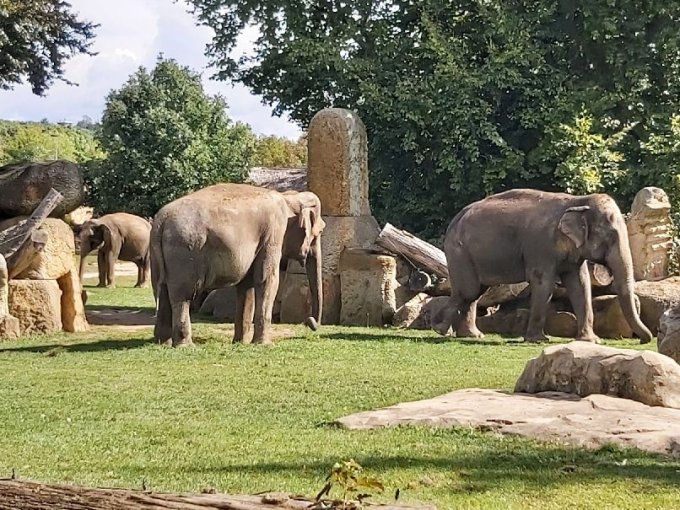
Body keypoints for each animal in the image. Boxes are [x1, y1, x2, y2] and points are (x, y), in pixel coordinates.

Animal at [152, 183, 326, 346]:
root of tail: (161, 221)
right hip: (184, 250)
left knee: (163, 292)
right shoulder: (273, 233)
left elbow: (246, 286)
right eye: (320, 232)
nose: (309, 322)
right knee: (183, 296)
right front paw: (264, 345)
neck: (289, 199)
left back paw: (163, 343)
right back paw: (185, 346)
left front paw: (241, 342)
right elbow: (267, 280)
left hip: (161, 255)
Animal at [432, 189, 656, 344]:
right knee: (468, 290)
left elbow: (581, 285)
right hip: (459, 252)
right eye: (611, 237)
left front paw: (591, 341)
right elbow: (544, 284)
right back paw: (439, 329)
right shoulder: (540, 245)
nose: (642, 339)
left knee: (476, 291)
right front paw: (538, 340)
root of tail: (455, 219)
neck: (577, 201)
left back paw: (472, 336)